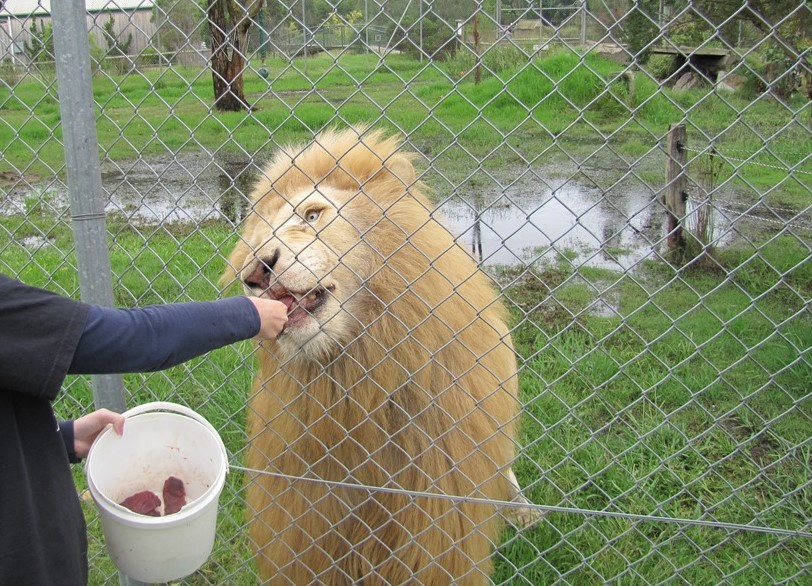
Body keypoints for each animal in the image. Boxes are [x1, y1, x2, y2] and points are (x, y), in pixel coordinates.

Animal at [223, 127, 530, 585]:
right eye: (256, 241)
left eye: (312, 215)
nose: (256, 272)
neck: (357, 379)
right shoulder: (306, 520)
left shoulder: (435, 515)